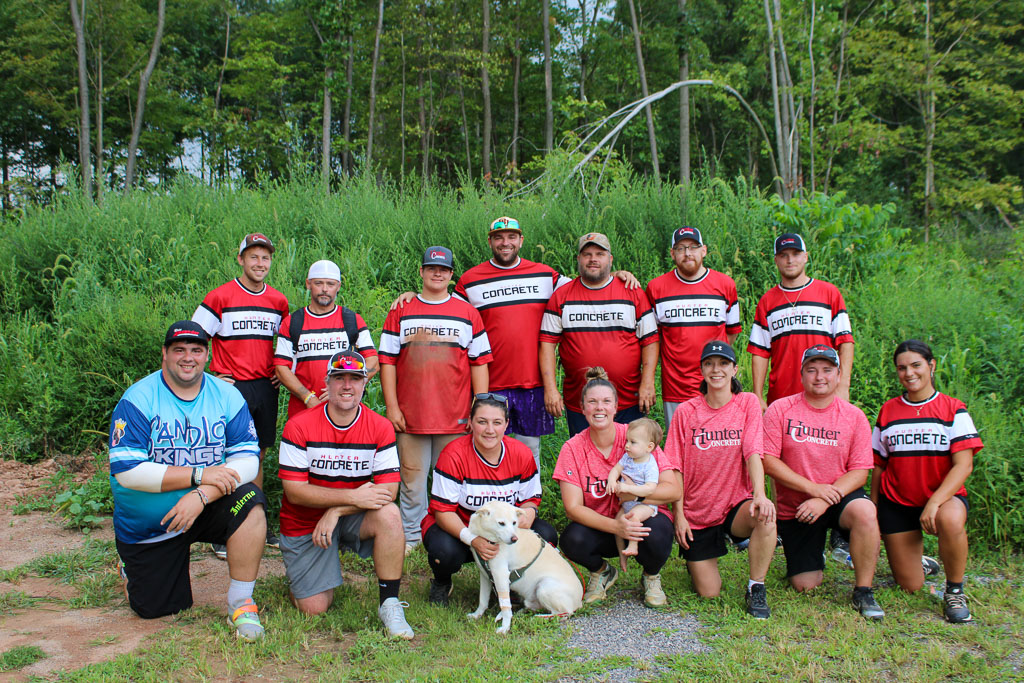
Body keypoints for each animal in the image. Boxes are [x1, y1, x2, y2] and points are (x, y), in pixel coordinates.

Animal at [466, 499, 581, 634]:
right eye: (501, 523)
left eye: (514, 522)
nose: (514, 539)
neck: (489, 538)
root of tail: (580, 602)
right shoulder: (485, 574)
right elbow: (483, 599)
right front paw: (477, 615)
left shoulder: (500, 574)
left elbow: (505, 607)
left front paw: (505, 627)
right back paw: (521, 612)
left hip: (545, 586)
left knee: (563, 614)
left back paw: (539, 617)